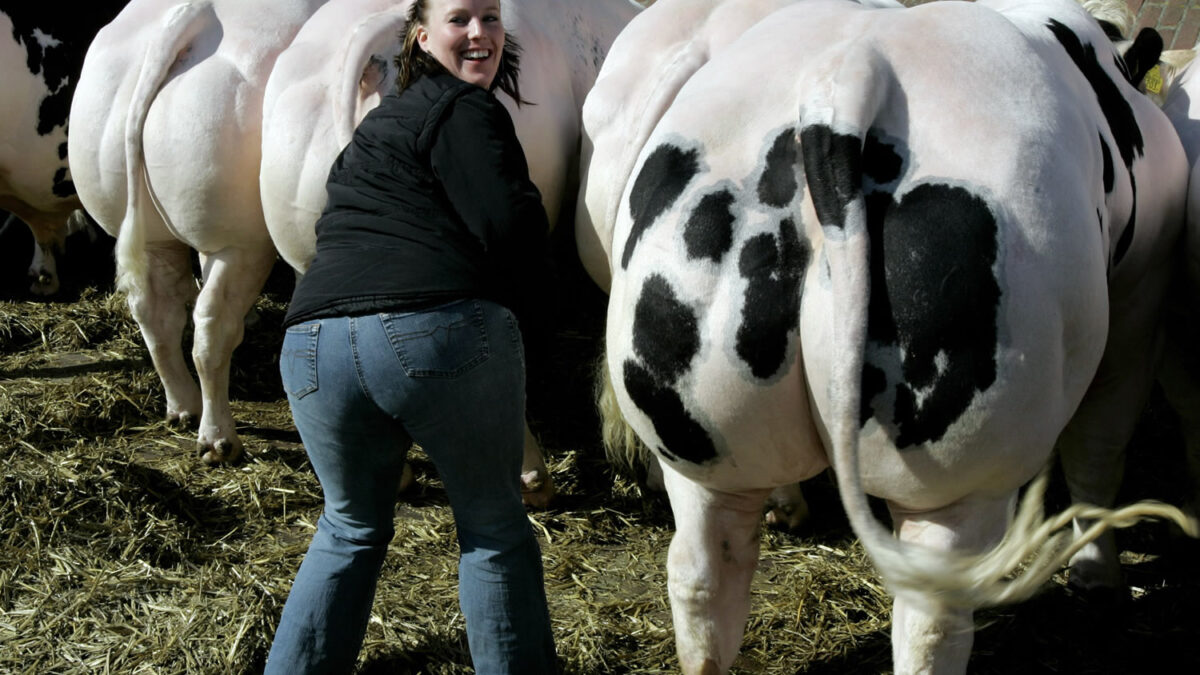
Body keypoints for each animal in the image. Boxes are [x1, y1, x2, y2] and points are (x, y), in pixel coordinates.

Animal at [70, 0, 333, 461]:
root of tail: (193, 15)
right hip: (238, 243)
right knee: (213, 323)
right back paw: (218, 439)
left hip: (148, 226)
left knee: (155, 311)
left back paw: (182, 407)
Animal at [580, 1, 1190, 672]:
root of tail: (845, 77)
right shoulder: (1141, 294)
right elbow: (1099, 452)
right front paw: (1099, 578)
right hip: (961, 476)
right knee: (931, 621)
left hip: (697, 443)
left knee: (702, 577)